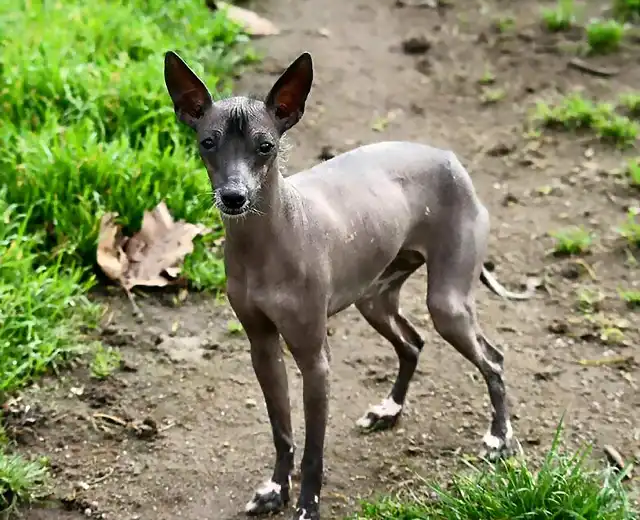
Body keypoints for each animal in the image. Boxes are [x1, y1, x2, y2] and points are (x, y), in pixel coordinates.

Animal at [162, 49, 532, 520]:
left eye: (266, 146)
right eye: (207, 143)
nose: (233, 197)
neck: (267, 242)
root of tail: (450, 159)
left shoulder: (315, 362)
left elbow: (313, 450)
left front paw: (306, 506)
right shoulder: (263, 349)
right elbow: (282, 431)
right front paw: (275, 490)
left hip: (447, 304)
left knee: (494, 360)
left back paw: (499, 438)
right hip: (373, 299)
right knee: (413, 343)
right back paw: (389, 410)